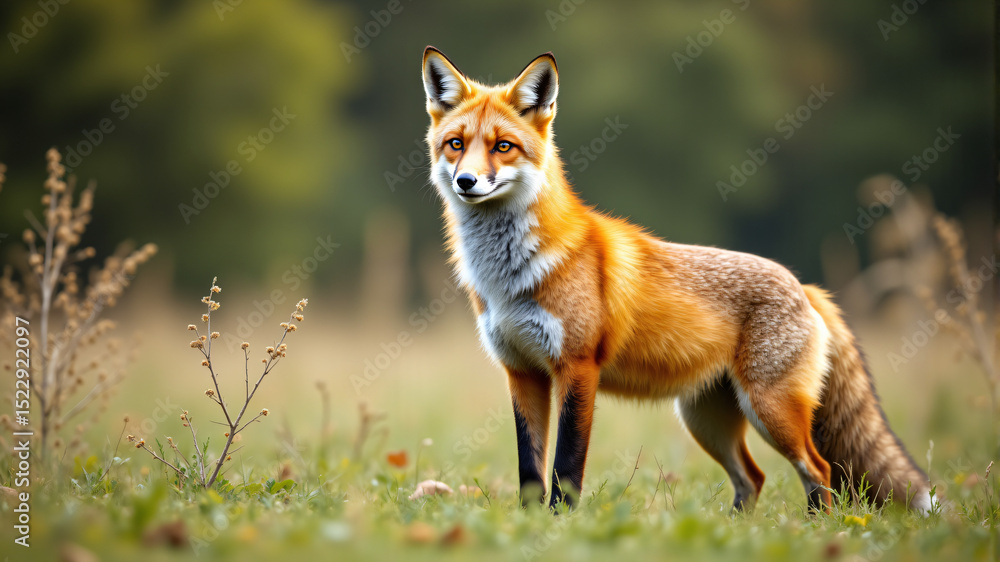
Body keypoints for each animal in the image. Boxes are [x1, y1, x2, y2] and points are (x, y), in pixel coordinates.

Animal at [420, 46, 933, 513]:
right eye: (456, 144)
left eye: (503, 146)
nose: (466, 181)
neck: (507, 278)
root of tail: (804, 287)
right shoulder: (522, 371)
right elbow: (530, 467)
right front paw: (528, 525)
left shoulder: (577, 367)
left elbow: (566, 466)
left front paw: (559, 525)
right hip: (705, 420)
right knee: (755, 478)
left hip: (771, 411)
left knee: (819, 470)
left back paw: (814, 530)